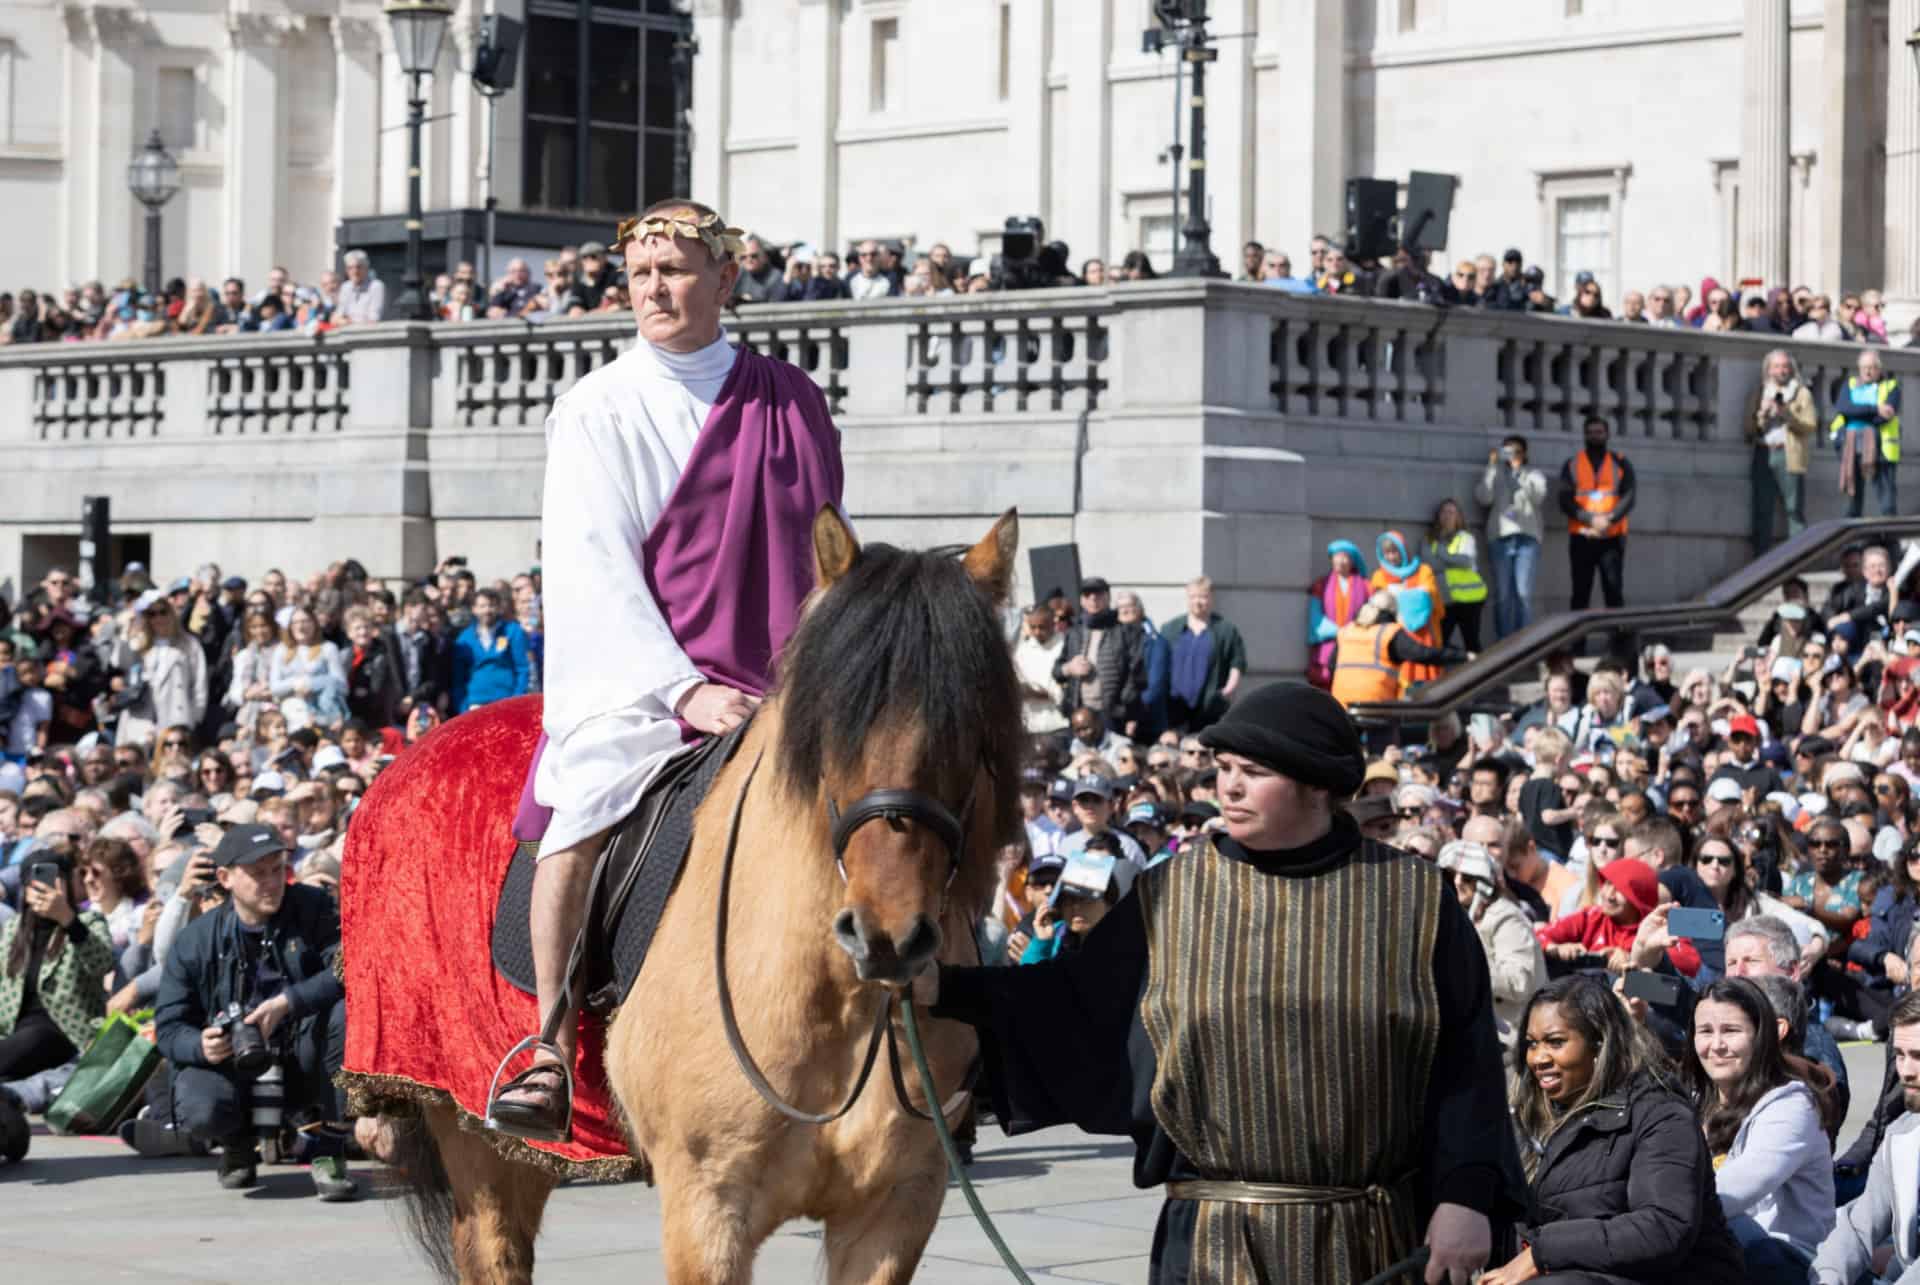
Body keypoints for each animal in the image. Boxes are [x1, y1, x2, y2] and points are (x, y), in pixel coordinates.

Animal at [380, 507, 1029, 1275]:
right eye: (832, 723)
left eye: (971, 726)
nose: (889, 936)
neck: (836, 994)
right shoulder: (706, 1205)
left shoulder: (897, 1208)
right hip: (475, 1135)